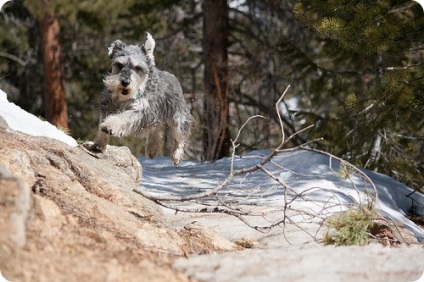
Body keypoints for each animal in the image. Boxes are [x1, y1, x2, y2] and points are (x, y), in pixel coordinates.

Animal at [90, 33, 195, 165]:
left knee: (179, 136)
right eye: (120, 65)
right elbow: (102, 127)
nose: (125, 82)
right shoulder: (107, 107)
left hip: (178, 117)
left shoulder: (138, 111)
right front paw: (99, 145)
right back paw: (152, 148)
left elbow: (121, 118)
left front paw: (109, 126)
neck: (124, 98)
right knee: (154, 129)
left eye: (138, 68)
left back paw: (176, 155)